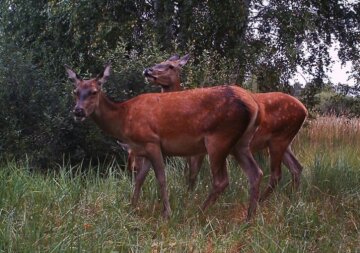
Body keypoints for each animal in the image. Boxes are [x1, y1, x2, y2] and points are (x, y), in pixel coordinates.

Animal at [64, 62, 262, 219]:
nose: (78, 111)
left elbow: (161, 178)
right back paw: (249, 217)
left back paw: (198, 213)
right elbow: (139, 179)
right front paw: (131, 207)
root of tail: (253, 104)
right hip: (241, 143)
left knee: (222, 180)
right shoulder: (143, 148)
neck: (124, 118)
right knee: (256, 173)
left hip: (218, 138)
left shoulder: (152, 141)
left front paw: (167, 213)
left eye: (94, 92)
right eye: (75, 91)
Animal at [139, 54, 308, 201]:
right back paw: (293, 198)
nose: (148, 70)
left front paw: (188, 199)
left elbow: (193, 175)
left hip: (278, 139)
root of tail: (304, 110)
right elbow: (189, 174)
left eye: (171, 66)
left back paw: (263, 201)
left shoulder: (200, 150)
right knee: (296, 167)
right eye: (160, 61)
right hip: (284, 142)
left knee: (277, 174)